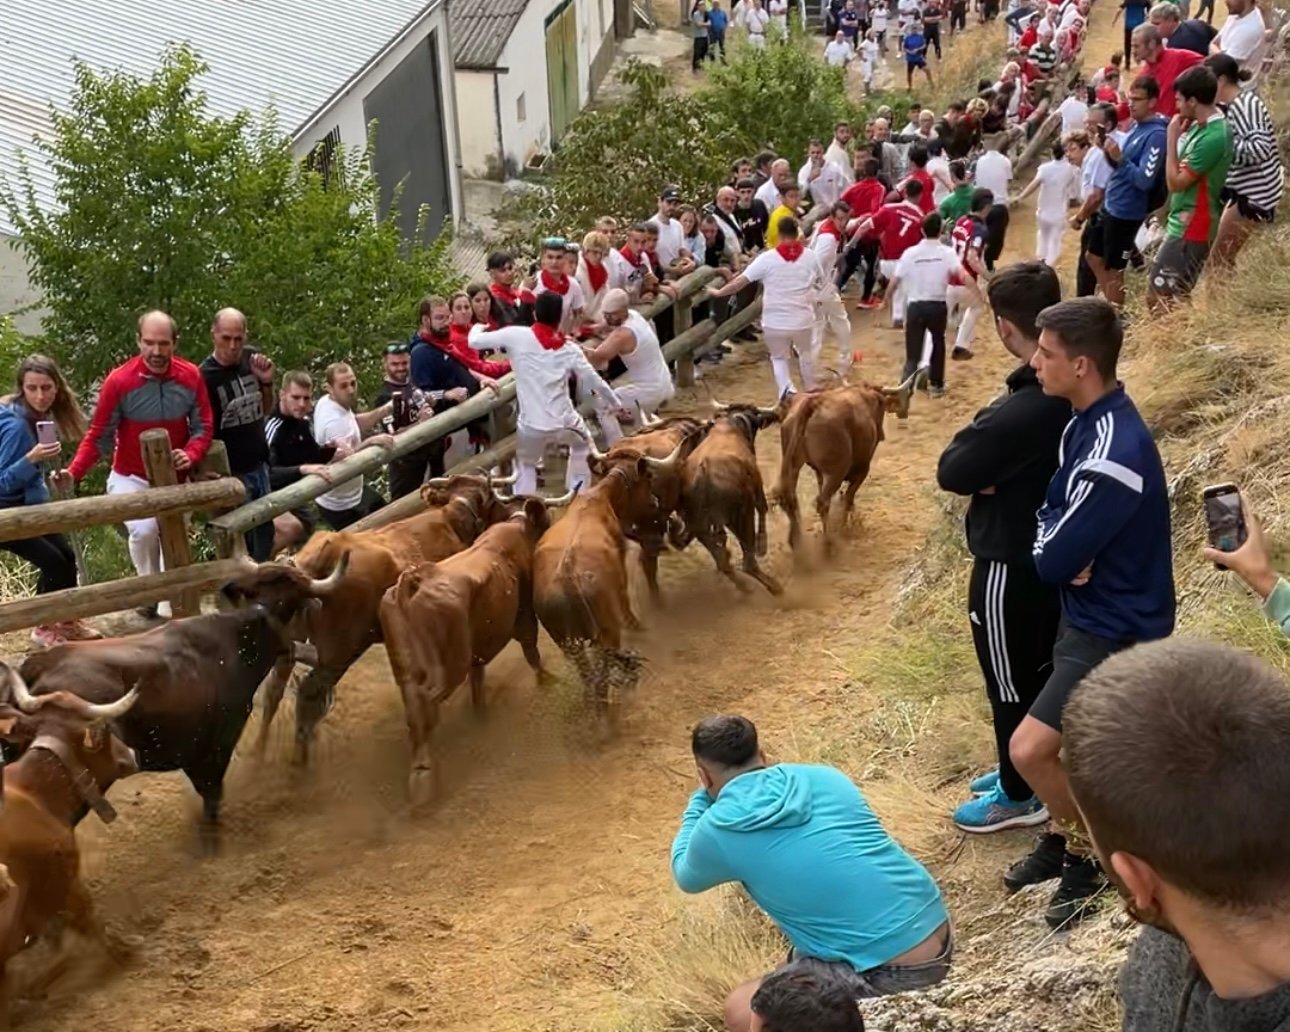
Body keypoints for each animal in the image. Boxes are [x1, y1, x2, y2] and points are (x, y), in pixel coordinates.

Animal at [0, 665, 138, 1006]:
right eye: (106, 731)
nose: (132, 753)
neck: (35, 793)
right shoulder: (67, 882)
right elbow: (88, 927)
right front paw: (124, 951)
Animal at [242, 472, 539, 763]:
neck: (452, 515)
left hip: (291, 643)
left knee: (274, 692)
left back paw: (259, 752)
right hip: (338, 653)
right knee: (308, 694)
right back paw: (298, 760)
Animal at [670, 402, 779, 595]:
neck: (730, 425)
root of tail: (703, 473)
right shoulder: (756, 481)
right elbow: (763, 507)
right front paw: (762, 544)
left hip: (700, 527)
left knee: (722, 562)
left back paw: (744, 588)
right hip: (741, 516)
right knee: (748, 562)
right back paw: (774, 587)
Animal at [774, 376, 918, 557]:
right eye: (882, 406)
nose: (882, 435)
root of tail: (812, 404)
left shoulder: (819, 471)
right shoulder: (862, 469)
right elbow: (849, 496)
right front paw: (846, 526)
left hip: (793, 466)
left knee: (791, 499)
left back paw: (796, 543)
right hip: (836, 472)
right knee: (822, 502)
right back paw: (828, 545)